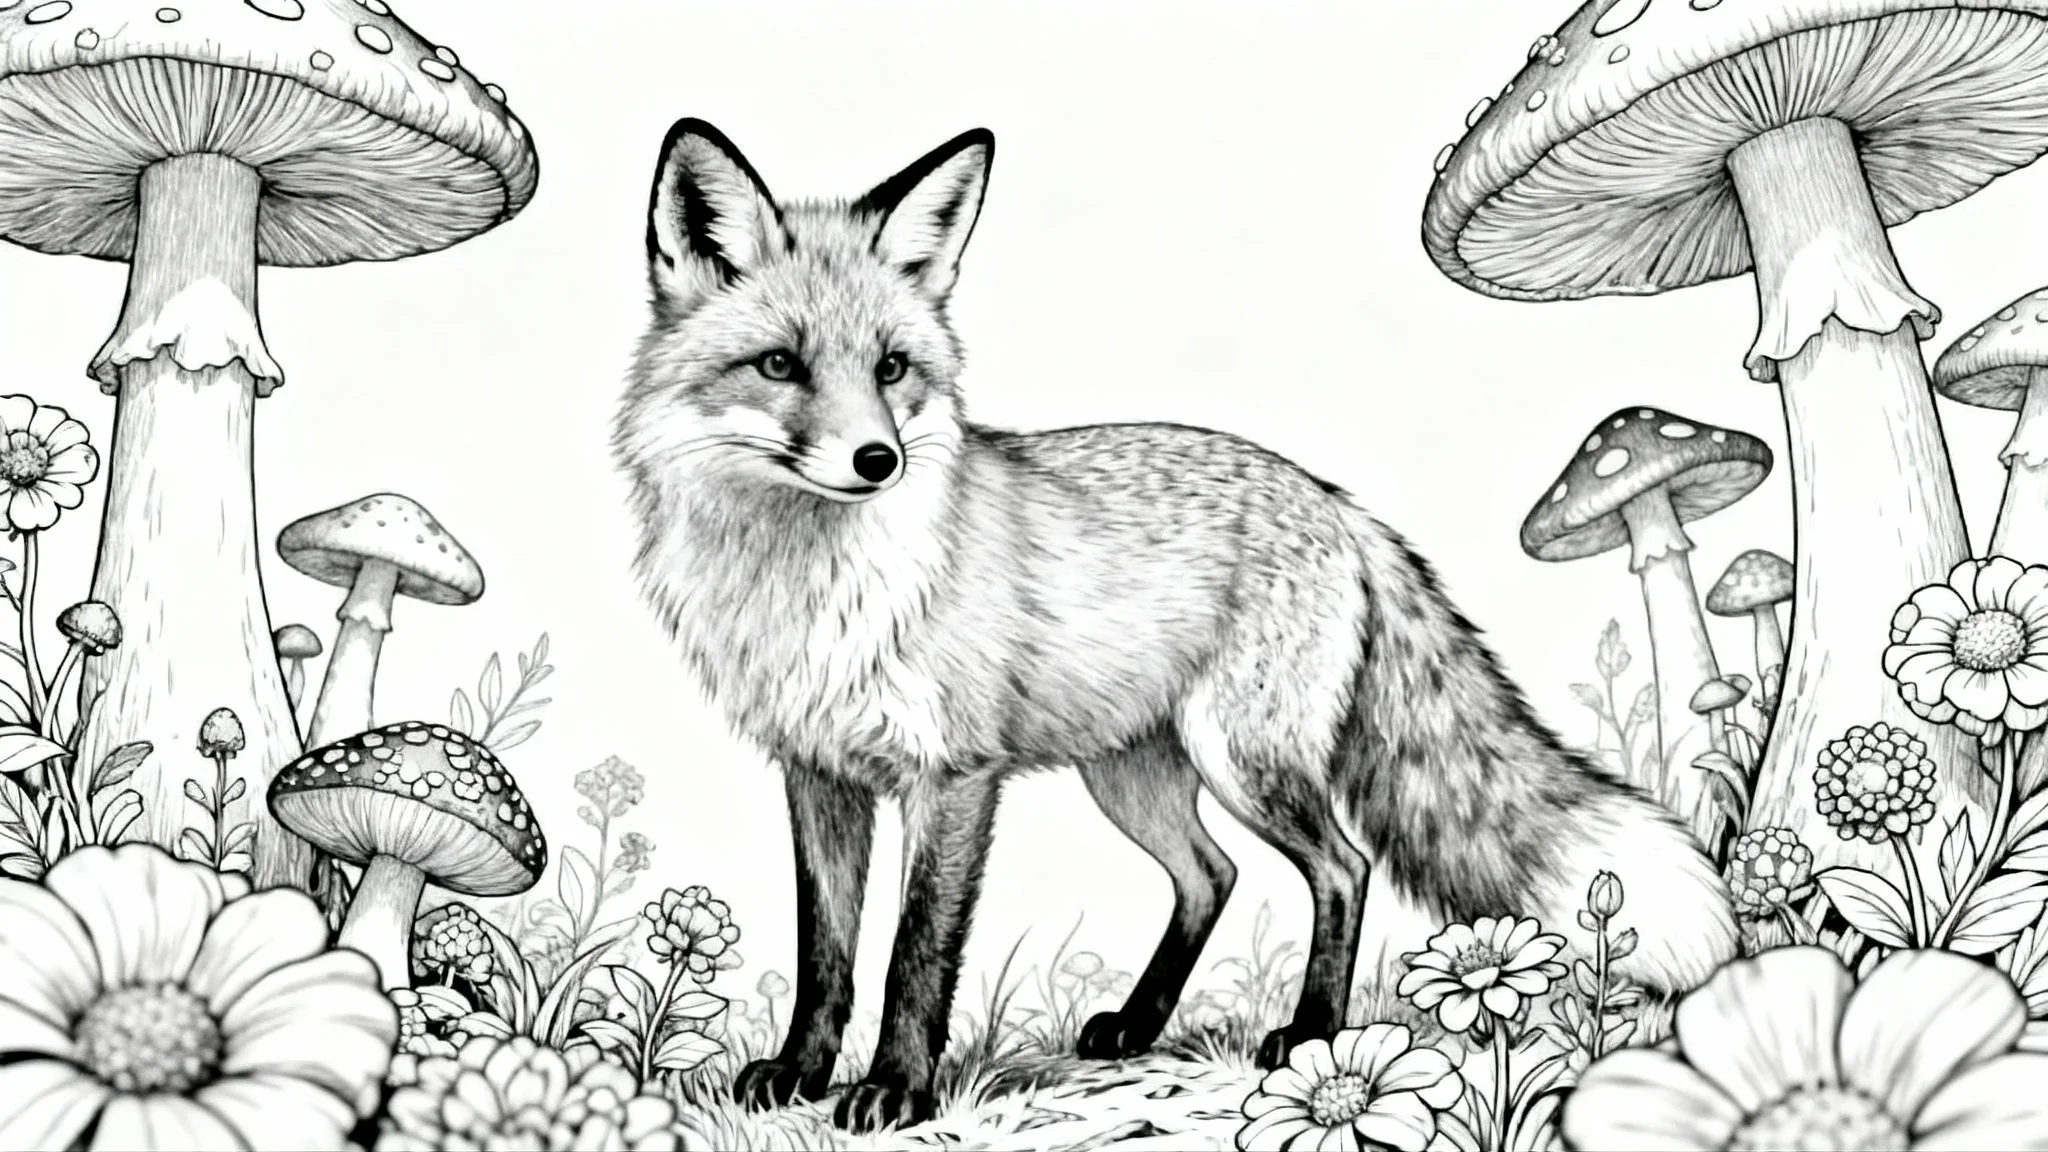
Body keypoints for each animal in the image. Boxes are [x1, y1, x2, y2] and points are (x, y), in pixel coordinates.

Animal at [614, 118, 1740, 1134]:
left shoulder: (953, 776)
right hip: (1132, 774)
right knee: (1212, 875)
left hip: (1242, 757)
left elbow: (915, 954)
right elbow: (826, 953)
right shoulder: (820, 774)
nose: (876, 460)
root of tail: (1337, 504)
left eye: (892, 369)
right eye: (778, 366)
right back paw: (1139, 1024)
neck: (810, 589)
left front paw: (895, 1090)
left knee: (1342, 866)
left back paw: (1311, 1034)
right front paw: (799, 1072)